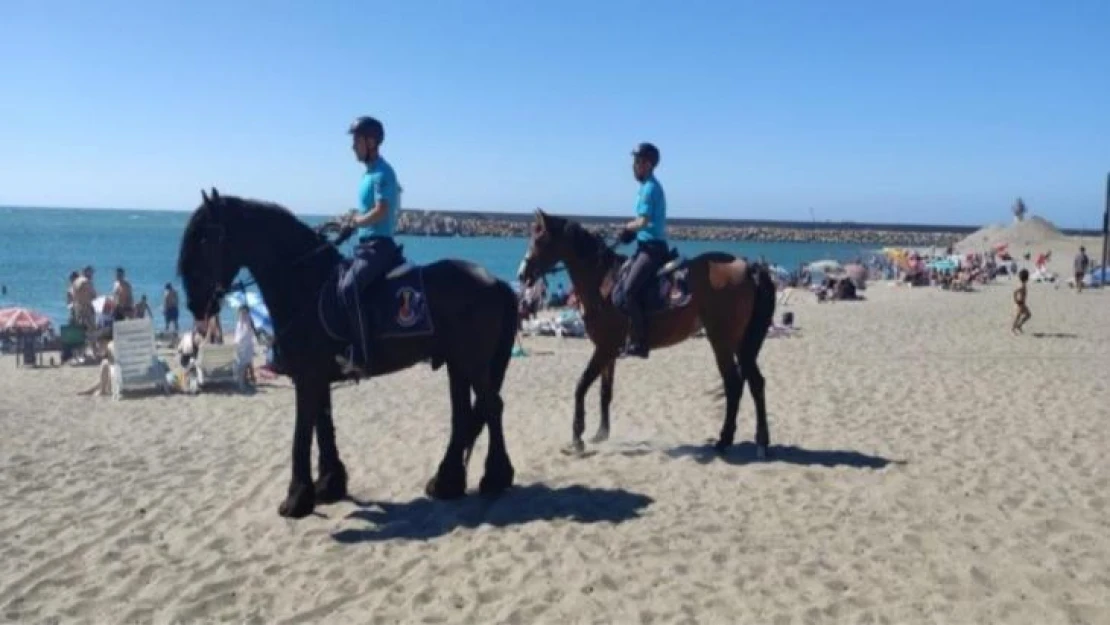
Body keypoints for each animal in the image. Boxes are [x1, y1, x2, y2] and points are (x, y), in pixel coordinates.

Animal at [175, 189, 517, 519]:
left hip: (473, 363)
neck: (306, 284)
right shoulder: (317, 377)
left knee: (492, 406)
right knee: (463, 414)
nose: (194, 302)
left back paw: (494, 477)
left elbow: (302, 433)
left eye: (205, 238)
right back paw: (447, 482)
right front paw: (329, 484)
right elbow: (323, 425)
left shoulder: (307, 377)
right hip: (458, 364)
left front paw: (297, 499)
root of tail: (495, 281)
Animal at [517, 208, 772, 455]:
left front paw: (577, 438)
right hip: (741, 343)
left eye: (539, 239)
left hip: (722, 341)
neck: (602, 283)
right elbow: (605, 392)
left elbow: (581, 386)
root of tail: (746, 266)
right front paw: (601, 433)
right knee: (755, 383)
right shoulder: (609, 350)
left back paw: (724, 440)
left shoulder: (604, 348)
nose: (522, 274)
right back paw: (760, 441)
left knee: (733, 383)